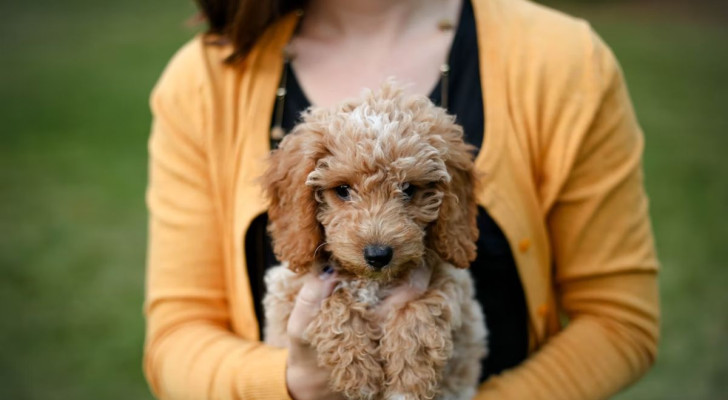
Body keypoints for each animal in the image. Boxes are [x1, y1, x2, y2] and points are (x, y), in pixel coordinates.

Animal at [262, 84, 490, 400]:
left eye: (408, 189)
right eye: (342, 190)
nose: (378, 255)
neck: (371, 282)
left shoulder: (451, 282)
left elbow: (424, 307)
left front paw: (410, 379)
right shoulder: (290, 291)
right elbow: (333, 304)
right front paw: (360, 373)